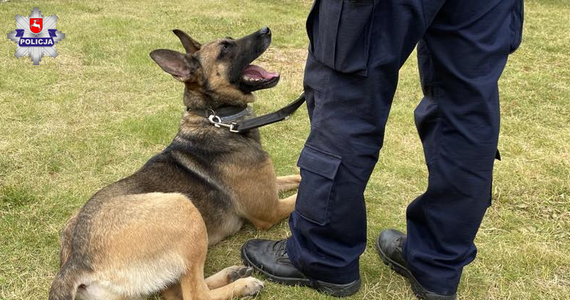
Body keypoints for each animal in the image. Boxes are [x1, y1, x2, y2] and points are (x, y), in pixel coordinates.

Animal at [48, 27, 300, 298]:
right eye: (225, 48)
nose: (266, 30)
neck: (218, 120)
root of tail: (77, 261)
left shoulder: (271, 185)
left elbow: (297, 177)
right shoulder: (270, 211)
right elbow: (298, 200)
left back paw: (233, 273)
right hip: (183, 207)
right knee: (195, 293)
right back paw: (243, 284)